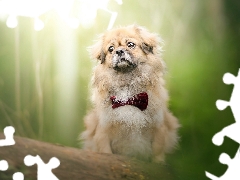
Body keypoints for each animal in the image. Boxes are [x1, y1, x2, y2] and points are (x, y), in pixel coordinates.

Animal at [79, 24, 179, 162]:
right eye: (111, 49)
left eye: (130, 44)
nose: (119, 51)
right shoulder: (103, 132)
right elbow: (106, 152)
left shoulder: (159, 127)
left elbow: (157, 155)